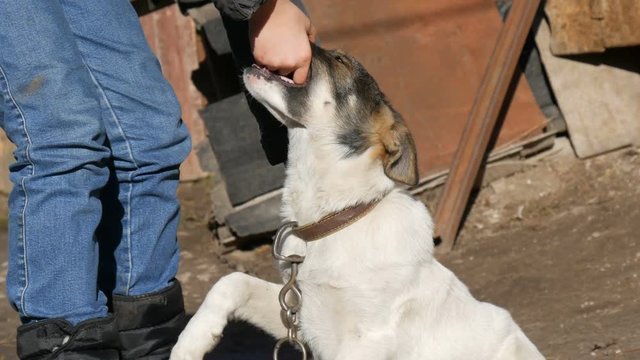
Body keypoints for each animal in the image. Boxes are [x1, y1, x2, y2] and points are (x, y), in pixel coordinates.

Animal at [171, 45, 544, 360]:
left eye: (341, 60)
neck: (335, 219)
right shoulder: (300, 315)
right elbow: (231, 281)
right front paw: (190, 343)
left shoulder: (370, 339)